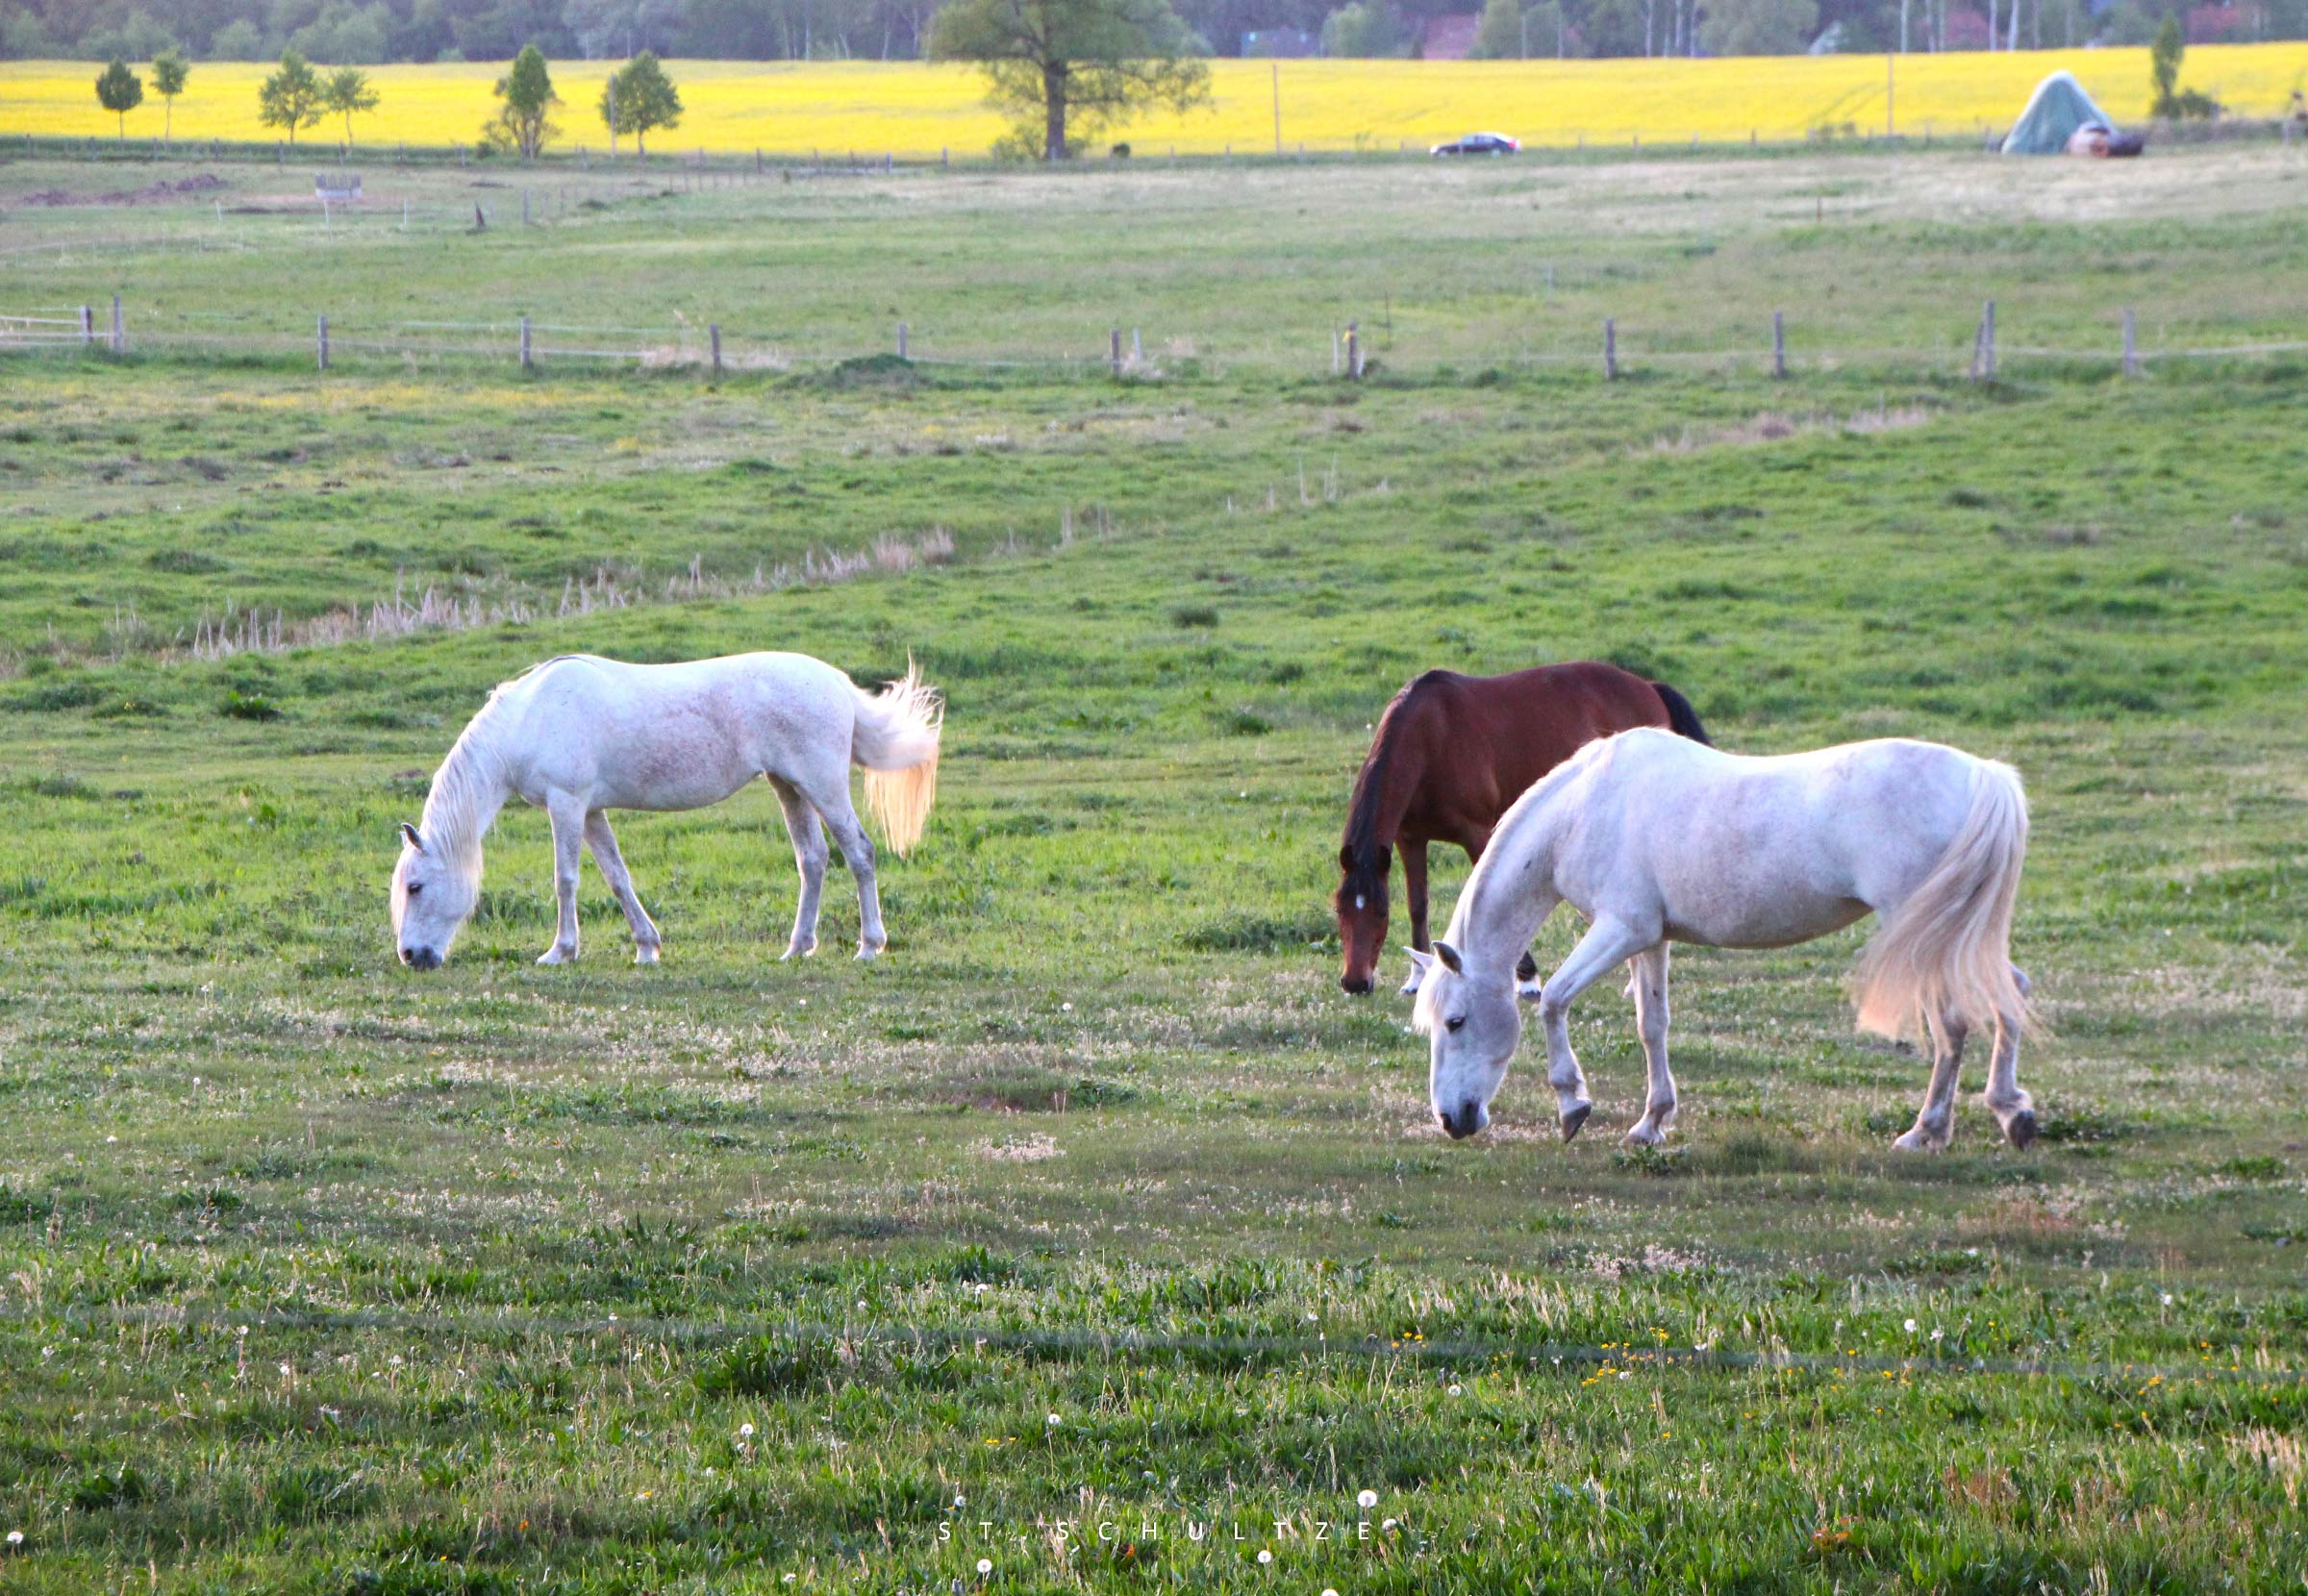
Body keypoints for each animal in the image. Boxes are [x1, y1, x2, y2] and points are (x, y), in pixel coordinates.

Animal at [390, 652, 942, 971]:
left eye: (415, 887)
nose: (411, 956)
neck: (531, 716)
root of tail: (836, 682)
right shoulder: (590, 812)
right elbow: (617, 878)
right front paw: (646, 946)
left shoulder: (566, 804)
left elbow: (565, 879)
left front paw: (560, 951)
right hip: (788, 785)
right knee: (814, 859)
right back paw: (797, 947)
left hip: (821, 785)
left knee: (859, 852)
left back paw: (870, 944)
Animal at [1334, 663, 1710, 996]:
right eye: (1339, 909)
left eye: (1380, 913)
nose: (1355, 982)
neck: (1430, 738)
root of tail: (1648, 686)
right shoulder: (1410, 839)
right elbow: (1418, 906)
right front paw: (1416, 977)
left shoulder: (1478, 833)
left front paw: (1527, 977)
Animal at [1412, 728, 2036, 1153]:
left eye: (1455, 1022)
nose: (1451, 1119)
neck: (1581, 810)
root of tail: (1983, 775)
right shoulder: (1650, 939)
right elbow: (1652, 1025)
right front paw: (1651, 1122)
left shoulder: (1621, 928)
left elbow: (1556, 999)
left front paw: (1574, 1105)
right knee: (2008, 992)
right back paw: (2008, 1113)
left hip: (1923, 932)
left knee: (1954, 1022)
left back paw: (1927, 1130)